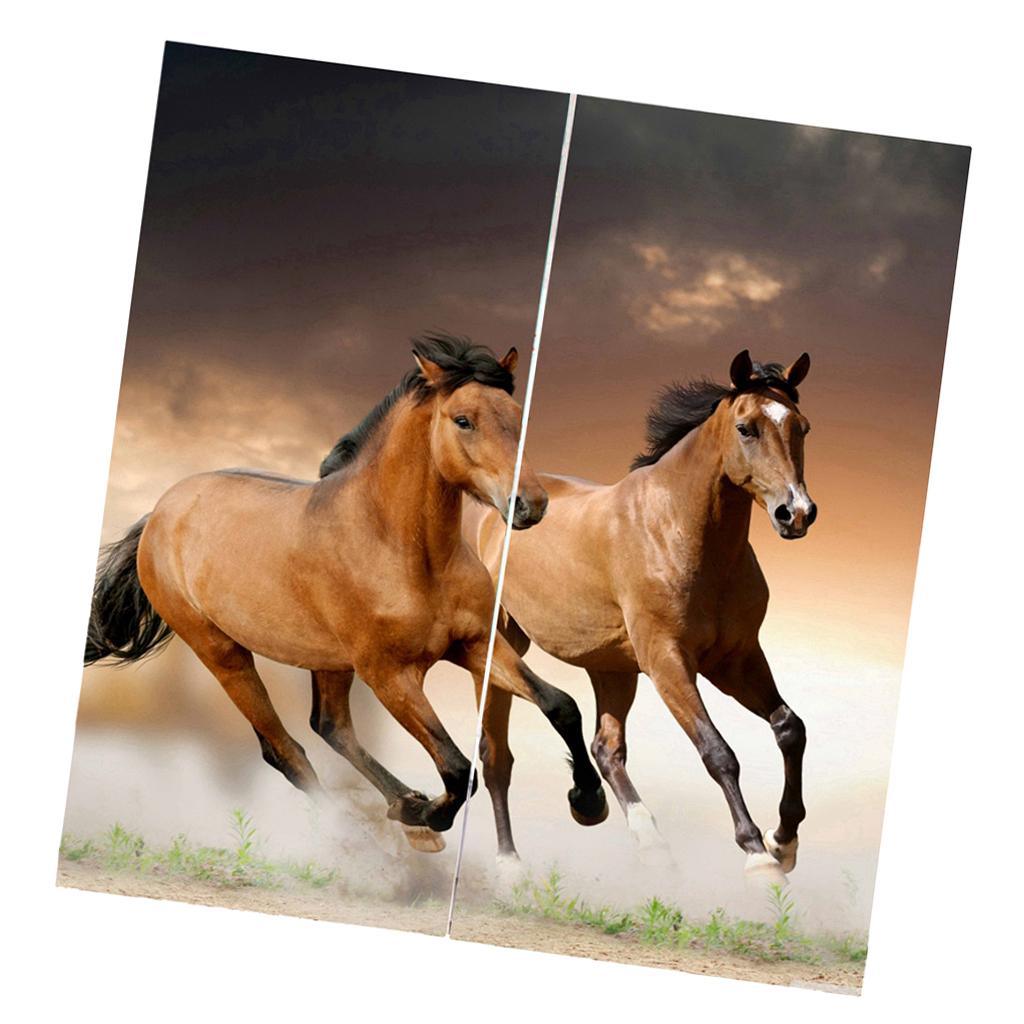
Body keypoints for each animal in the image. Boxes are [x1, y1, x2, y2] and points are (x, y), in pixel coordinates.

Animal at [85, 332, 607, 852]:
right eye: (463, 420)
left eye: (519, 417)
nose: (530, 505)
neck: (405, 551)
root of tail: (159, 513)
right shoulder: (390, 674)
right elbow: (459, 770)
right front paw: (424, 813)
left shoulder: (475, 644)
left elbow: (561, 705)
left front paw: (588, 801)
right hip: (223, 654)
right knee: (286, 751)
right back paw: (373, 832)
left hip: (328, 660)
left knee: (330, 726)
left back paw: (403, 811)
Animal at [473, 350, 815, 884]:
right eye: (747, 428)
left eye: (801, 426)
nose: (795, 513)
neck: (678, 531)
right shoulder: (668, 662)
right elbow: (718, 752)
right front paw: (758, 856)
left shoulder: (735, 659)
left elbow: (789, 728)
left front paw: (785, 841)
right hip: (501, 654)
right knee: (496, 760)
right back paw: (511, 863)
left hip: (611, 668)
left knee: (605, 749)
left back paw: (643, 839)